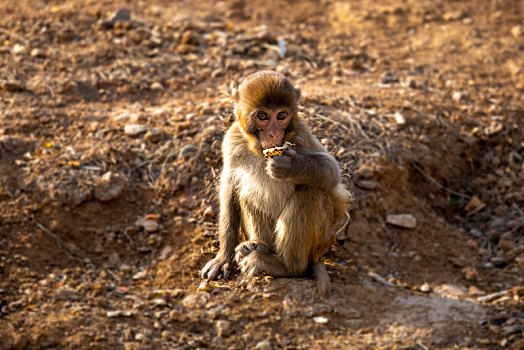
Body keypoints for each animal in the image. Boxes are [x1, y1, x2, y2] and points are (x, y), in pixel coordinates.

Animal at [203, 69, 350, 294]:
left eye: (281, 115)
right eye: (262, 116)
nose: (273, 134)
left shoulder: (301, 132)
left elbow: (331, 172)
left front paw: (289, 167)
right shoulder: (232, 141)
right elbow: (229, 189)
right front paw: (223, 257)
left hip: (321, 239)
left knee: (309, 193)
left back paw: (284, 266)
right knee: (245, 193)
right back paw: (256, 247)